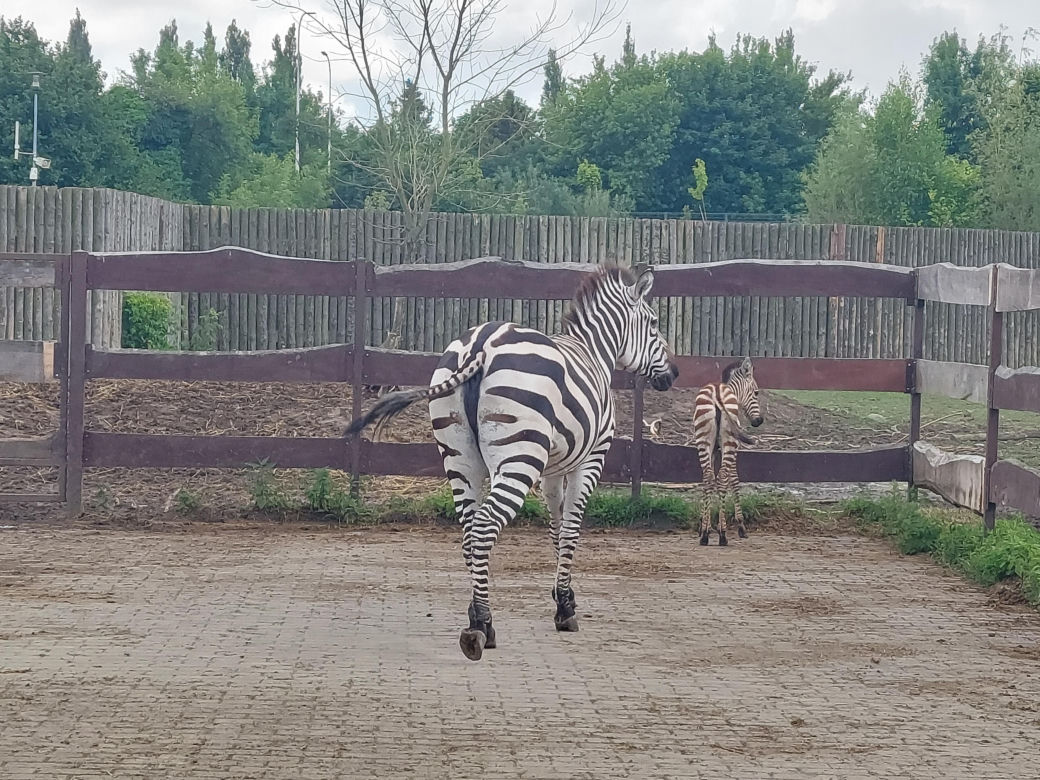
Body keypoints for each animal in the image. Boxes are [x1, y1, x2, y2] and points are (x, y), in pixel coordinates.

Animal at [344, 264, 678, 661]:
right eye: (654, 323)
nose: (674, 374)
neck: (594, 352)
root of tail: (481, 345)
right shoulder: (590, 459)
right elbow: (571, 528)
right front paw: (566, 609)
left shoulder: (552, 469)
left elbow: (555, 527)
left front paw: (561, 596)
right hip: (520, 457)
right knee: (484, 526)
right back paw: (481, 626)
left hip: (460, 457)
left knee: (469, 530)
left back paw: (476, 614)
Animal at [693, 356, 763, 546]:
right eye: (756, 393)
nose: (759, 421)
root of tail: (717, 393)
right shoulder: (732, 448)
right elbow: (734, 480)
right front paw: (740, 526)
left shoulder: (714, 449)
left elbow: (707, 482)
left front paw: (705, 526)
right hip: (730, 442)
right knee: (723, 477)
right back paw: (723, 535)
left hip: (703, 440)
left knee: (708, 476)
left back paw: (705, 536)